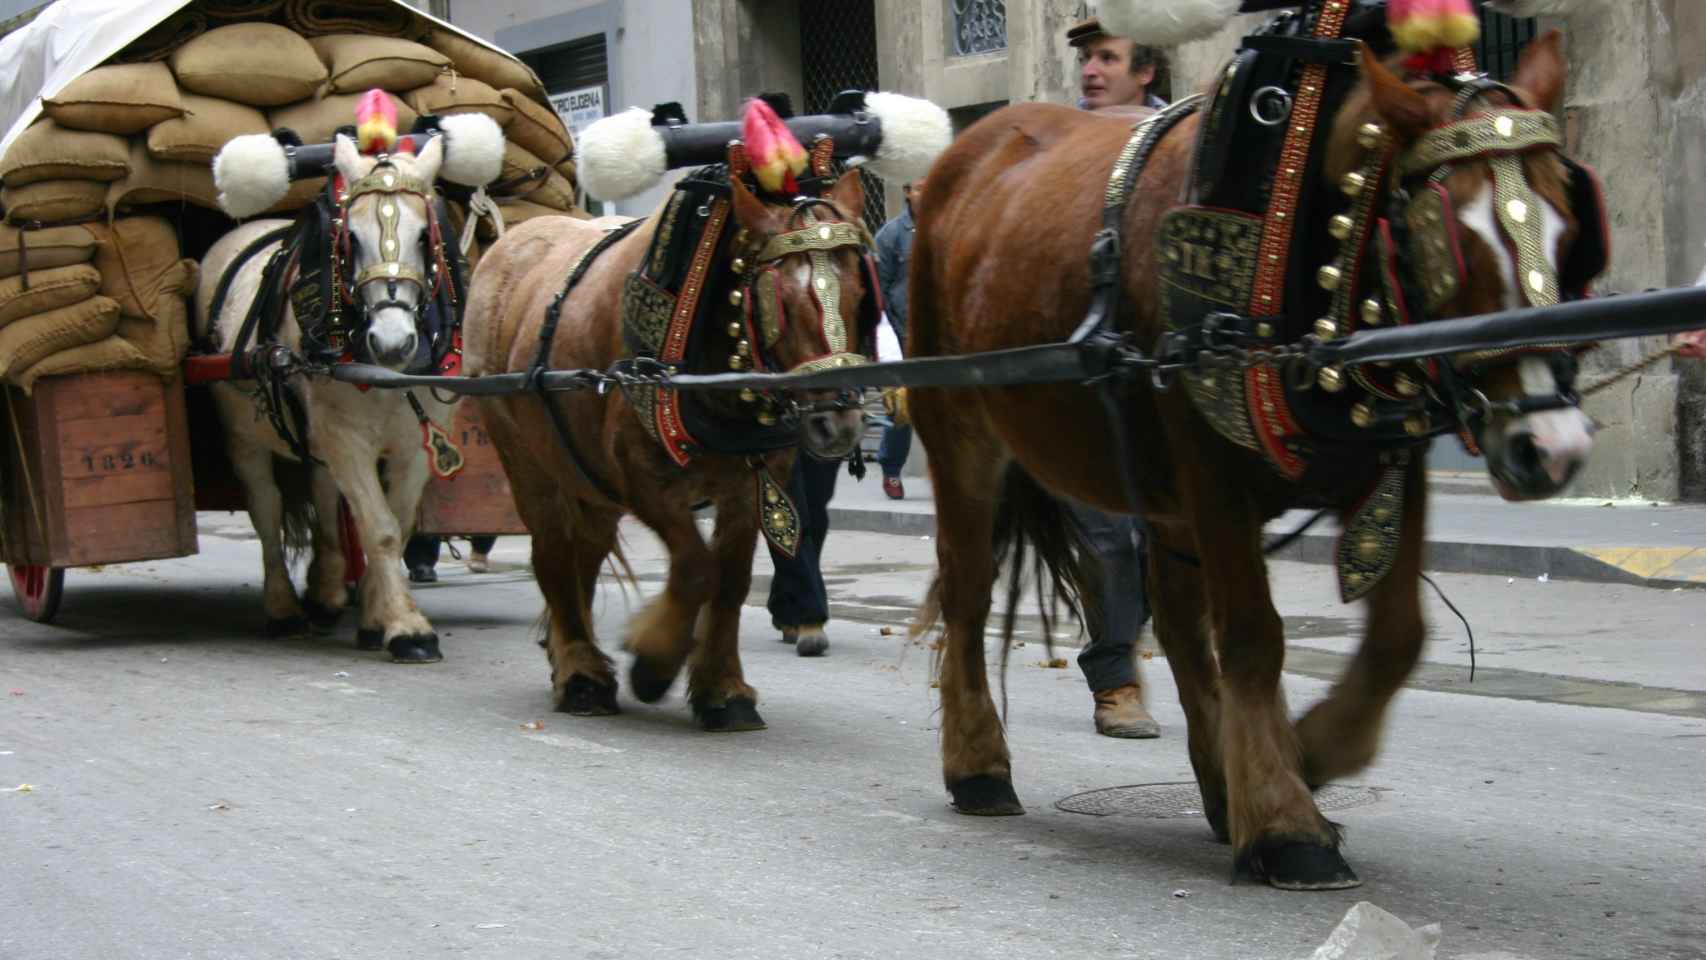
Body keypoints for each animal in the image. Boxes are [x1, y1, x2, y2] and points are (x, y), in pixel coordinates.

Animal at [197, 112, 498, 665]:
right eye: (350, 237)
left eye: (424, 236)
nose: (392, 342)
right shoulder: (347, 440)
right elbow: (379, 529)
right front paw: (407, 628)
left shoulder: (413, 447)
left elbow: (395, 524)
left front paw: (378, 615)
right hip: (244, 437)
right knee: (266, 510)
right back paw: (284, 609)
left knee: (323, 495)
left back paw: (326, 590)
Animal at [467, 135, 887, 729]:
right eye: (779, 300)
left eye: (858, 292)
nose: (838, 423)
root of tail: (508, 247)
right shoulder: (642, 479)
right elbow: (694, 569)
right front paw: (653, 662)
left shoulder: (751, 484)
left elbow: (730, 580)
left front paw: (722, 690)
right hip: (525, 461)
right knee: (551, 551)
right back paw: (580, 674)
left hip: (585, 476)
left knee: (584, 551)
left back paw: (572, 654)